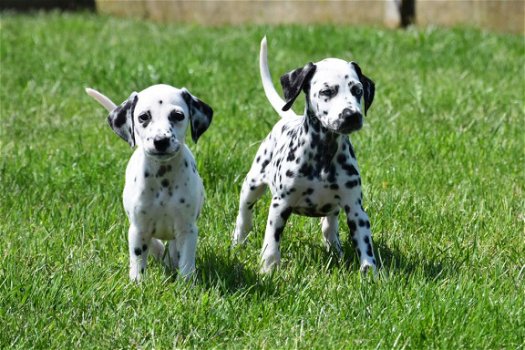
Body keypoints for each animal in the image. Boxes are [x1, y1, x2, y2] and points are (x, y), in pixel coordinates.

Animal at [85, 85, 212, 282]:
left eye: (178, 115)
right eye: (143, 117)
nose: (161, 141)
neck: (163, 178)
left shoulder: (187, 229)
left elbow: (186, 261)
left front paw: (186, 283)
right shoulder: (139, 229)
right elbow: (138, 258)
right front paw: (137, 282)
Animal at [233, 37, 376, 274]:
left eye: (357, 90)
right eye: (327, 91)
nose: (352, 116)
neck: (323, 156)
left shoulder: (356, 210)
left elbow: (365, 244)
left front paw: (371, 273)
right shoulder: (280, 204)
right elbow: (271, 242)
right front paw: (268, 269)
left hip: (334, 210)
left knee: (329, 227)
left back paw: (335, 249)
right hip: (252, 184)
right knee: (244, 216)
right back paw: (237, 241)